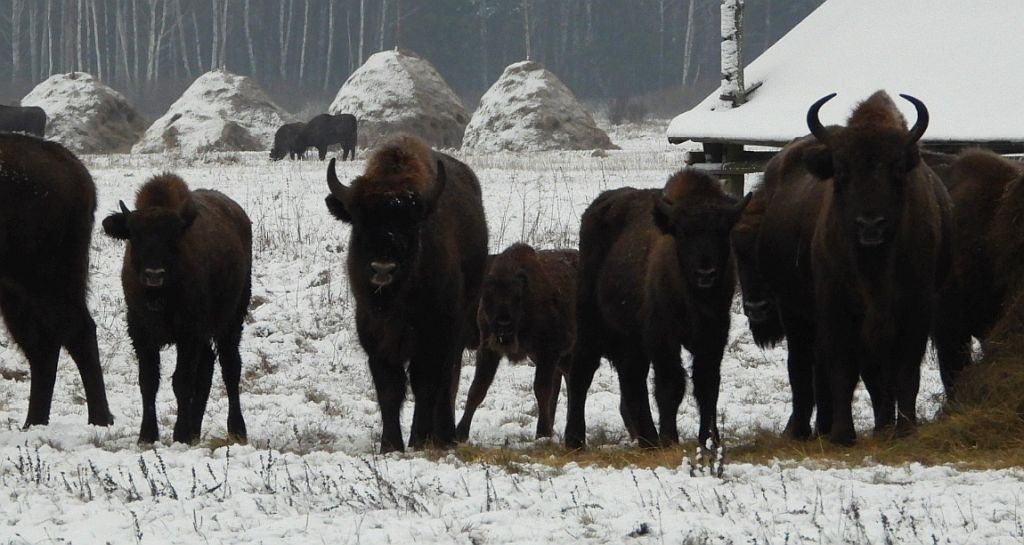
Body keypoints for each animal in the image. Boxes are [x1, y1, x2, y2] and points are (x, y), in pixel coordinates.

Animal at [0, 134, 113, 427]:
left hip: (44, 281)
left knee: (77, 331)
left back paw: (100, 419)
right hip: (16, 293)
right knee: (43, 344)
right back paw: (33, 424)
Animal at [103, 174, 252, 445]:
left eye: (172, 238)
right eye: (134, 236)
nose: (154, 274)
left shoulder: (188, 334)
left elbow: (181, 381)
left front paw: (180, 434)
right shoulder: (142, 335)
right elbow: (148, 381)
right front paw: (147, 436)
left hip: (232, 320)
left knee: (230, 367)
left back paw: (236, 429)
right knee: (207, 367)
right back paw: (195, 430)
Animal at [325, 134, 487, 453]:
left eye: (410, 225)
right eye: (359, 223)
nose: (383, 267)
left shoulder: (435, 334)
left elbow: (425, 384)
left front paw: (419, 439)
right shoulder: (374, 336)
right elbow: (390, 388)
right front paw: (390, 444)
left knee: (448, 381)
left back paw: (444, 434)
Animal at [456, 244, 578, 441]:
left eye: (517, 297)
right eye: (487, 297)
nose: (503, 325)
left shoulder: (549, 351)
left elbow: (542, 389)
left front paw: (542, 433)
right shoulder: (488, 350)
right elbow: (477, 388)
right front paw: (460, 433)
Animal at [564, 170, 750, 449]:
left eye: (722, 231)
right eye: (683, 232)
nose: (706, 272)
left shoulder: (714, 336)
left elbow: (707, 385)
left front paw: (709, 441)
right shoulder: (662, 337)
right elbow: (671, 384)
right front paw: (670, 438)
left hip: (630, 338)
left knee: (632, 379)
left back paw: (648, 439)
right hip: (589, 319)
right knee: (582, 369)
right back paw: (575, 440)